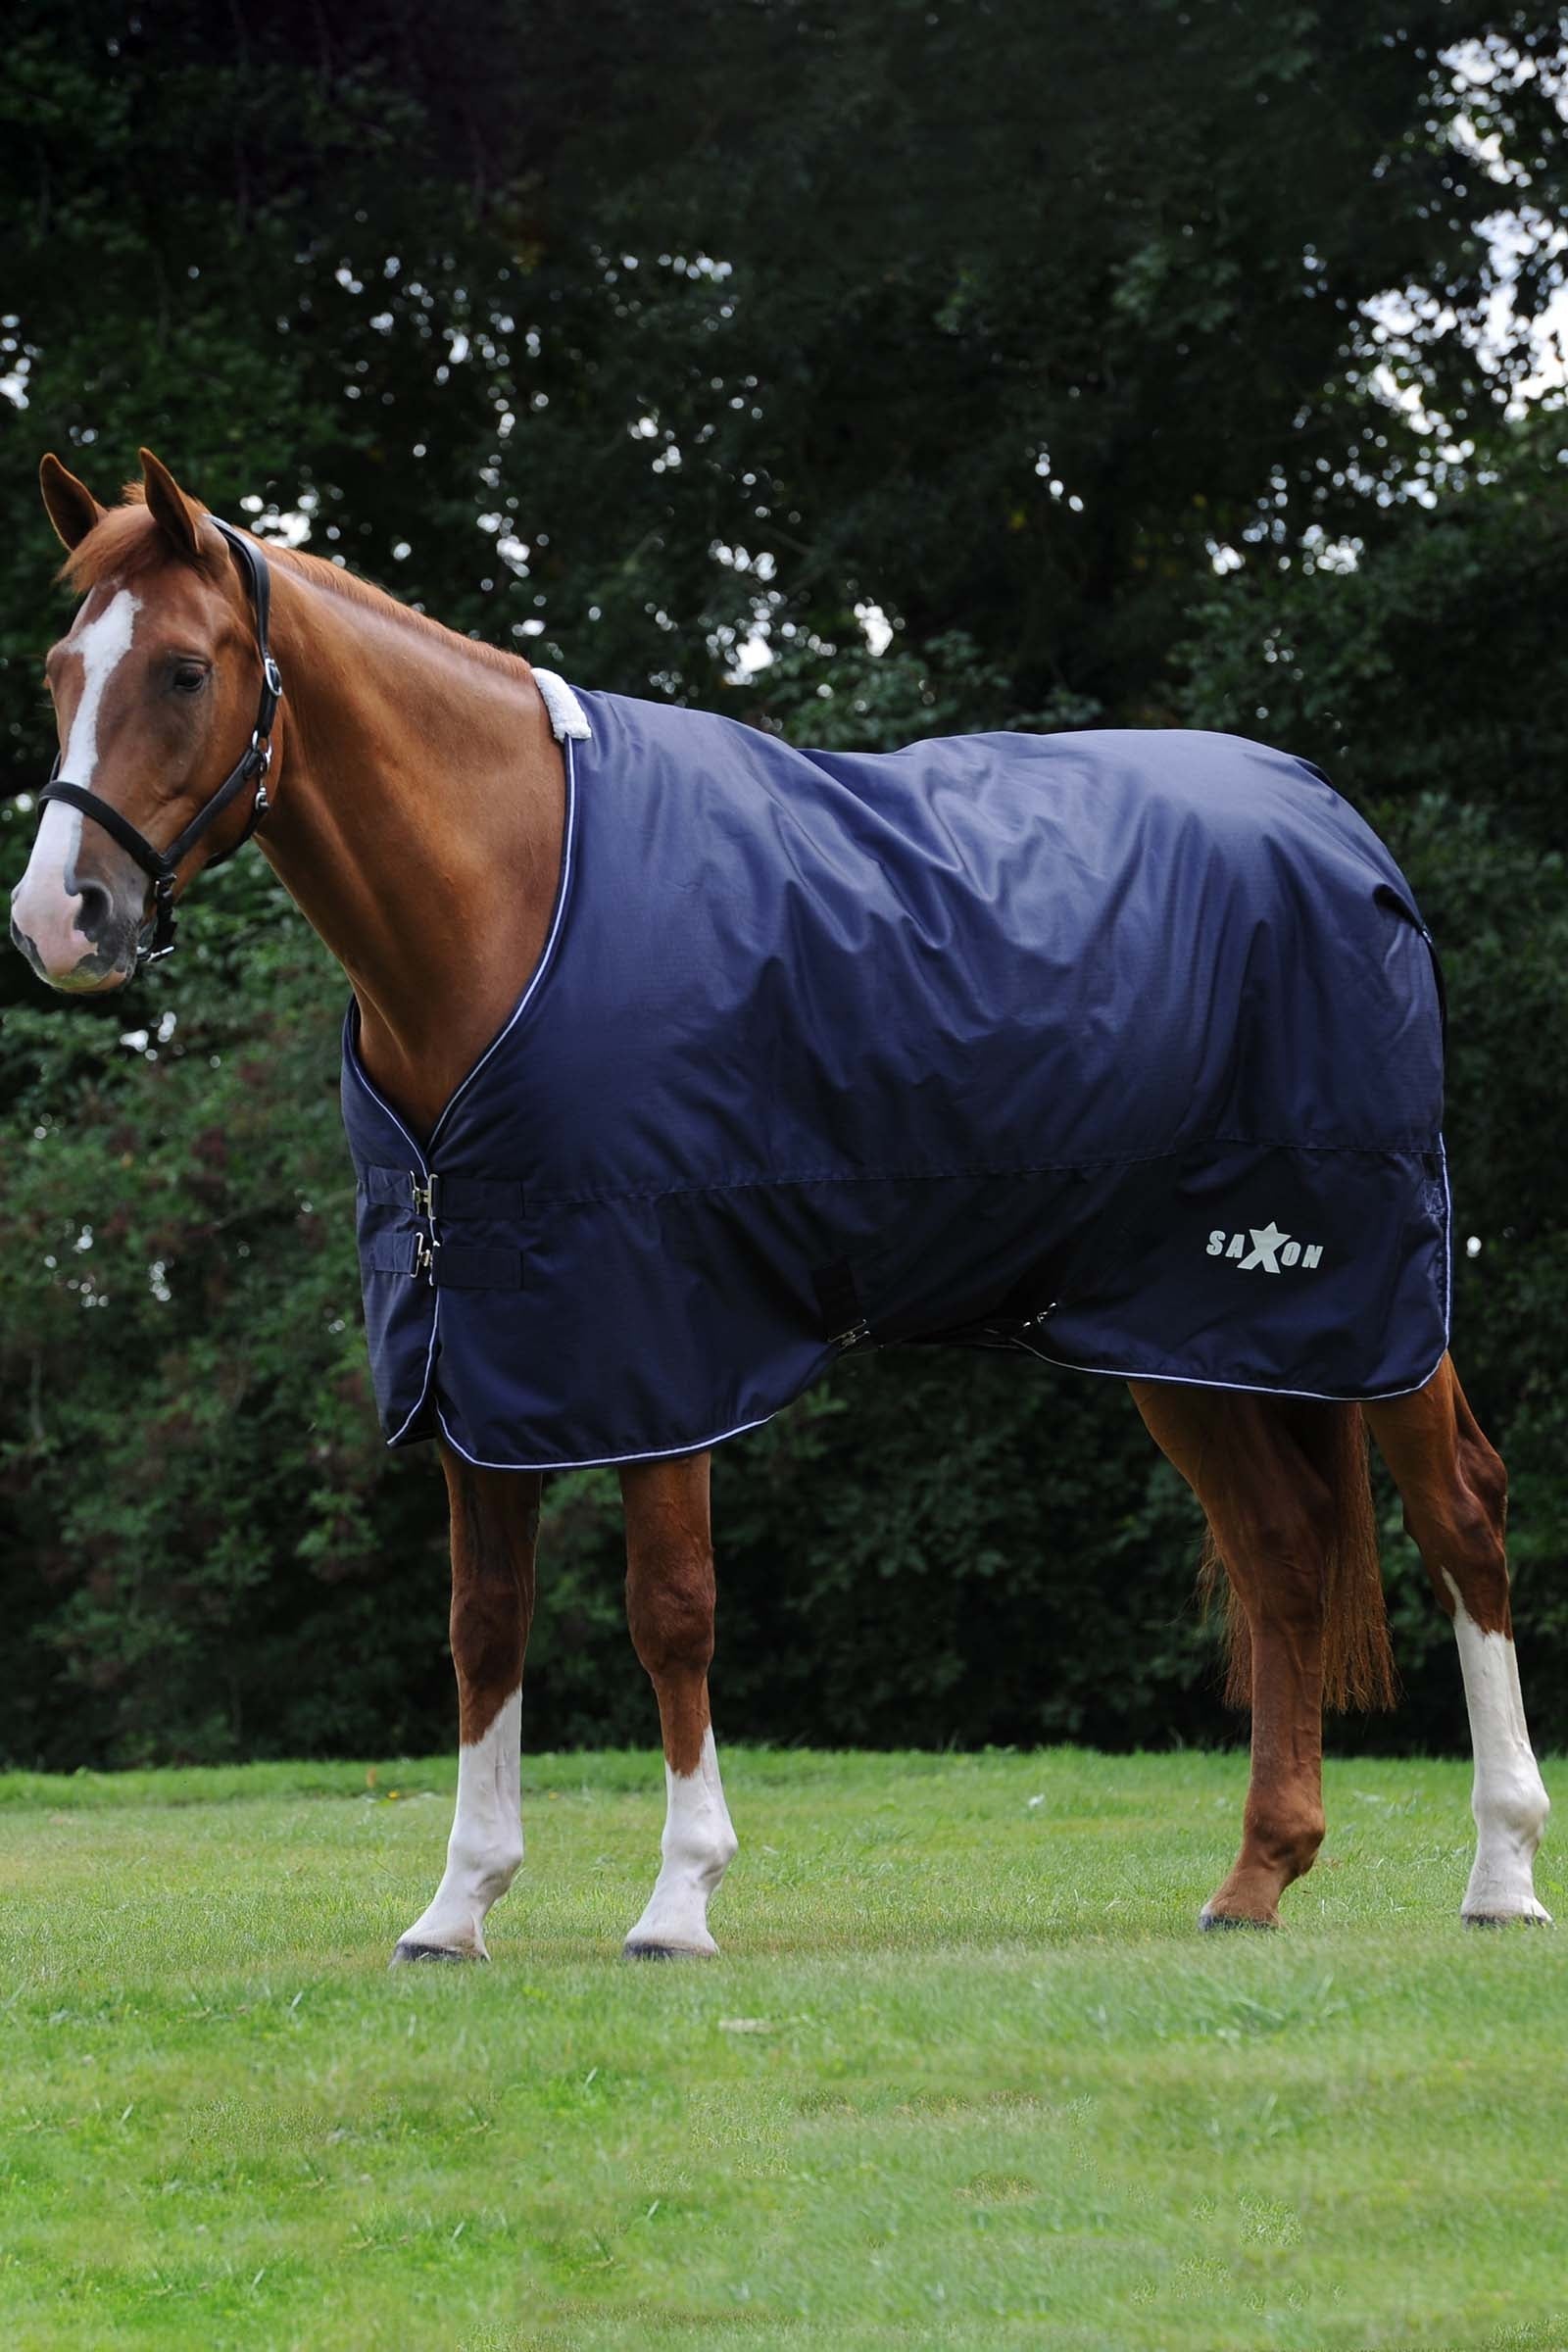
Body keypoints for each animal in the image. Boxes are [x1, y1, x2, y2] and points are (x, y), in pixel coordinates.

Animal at [10, 448, 1550, 1962]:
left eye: (185, 672)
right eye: (59, 671)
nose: (57, 918)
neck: (512, 902)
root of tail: (1330, 820)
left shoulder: (659, 1340)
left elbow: (671, 1610)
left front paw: (679, 1896)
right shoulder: (477, 1348)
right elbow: (483, 1623)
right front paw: (458, 1906)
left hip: (1364, 1289)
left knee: (1458, 1513)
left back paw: (1502, 1872)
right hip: (1183, 1330)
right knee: (1282, 1553)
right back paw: (1256, 1879)